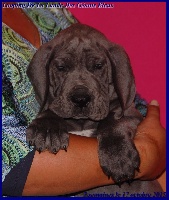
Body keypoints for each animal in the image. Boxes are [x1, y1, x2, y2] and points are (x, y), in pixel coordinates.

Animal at [26, 23, 161, 192]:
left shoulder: (132, 114)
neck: (83, 123)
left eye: (98, 66)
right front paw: (47, 128)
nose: (81, 99)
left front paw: (118, 156)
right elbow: (52, 108)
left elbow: (114, 121)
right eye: (61, 67)